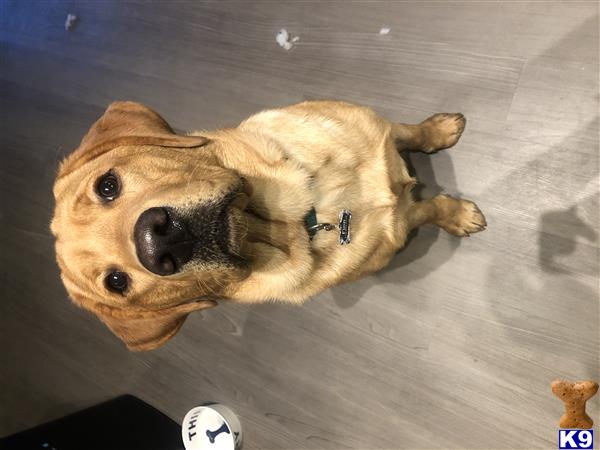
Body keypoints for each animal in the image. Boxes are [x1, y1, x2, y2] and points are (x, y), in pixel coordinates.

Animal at [50, 101, 482, 352]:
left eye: (107, 186)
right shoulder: (401, 226)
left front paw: (442, 129)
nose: (159, 242)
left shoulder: (380, 128)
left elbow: (412, 131)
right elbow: (428, 211)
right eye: (117, 282)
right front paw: (458, 215)